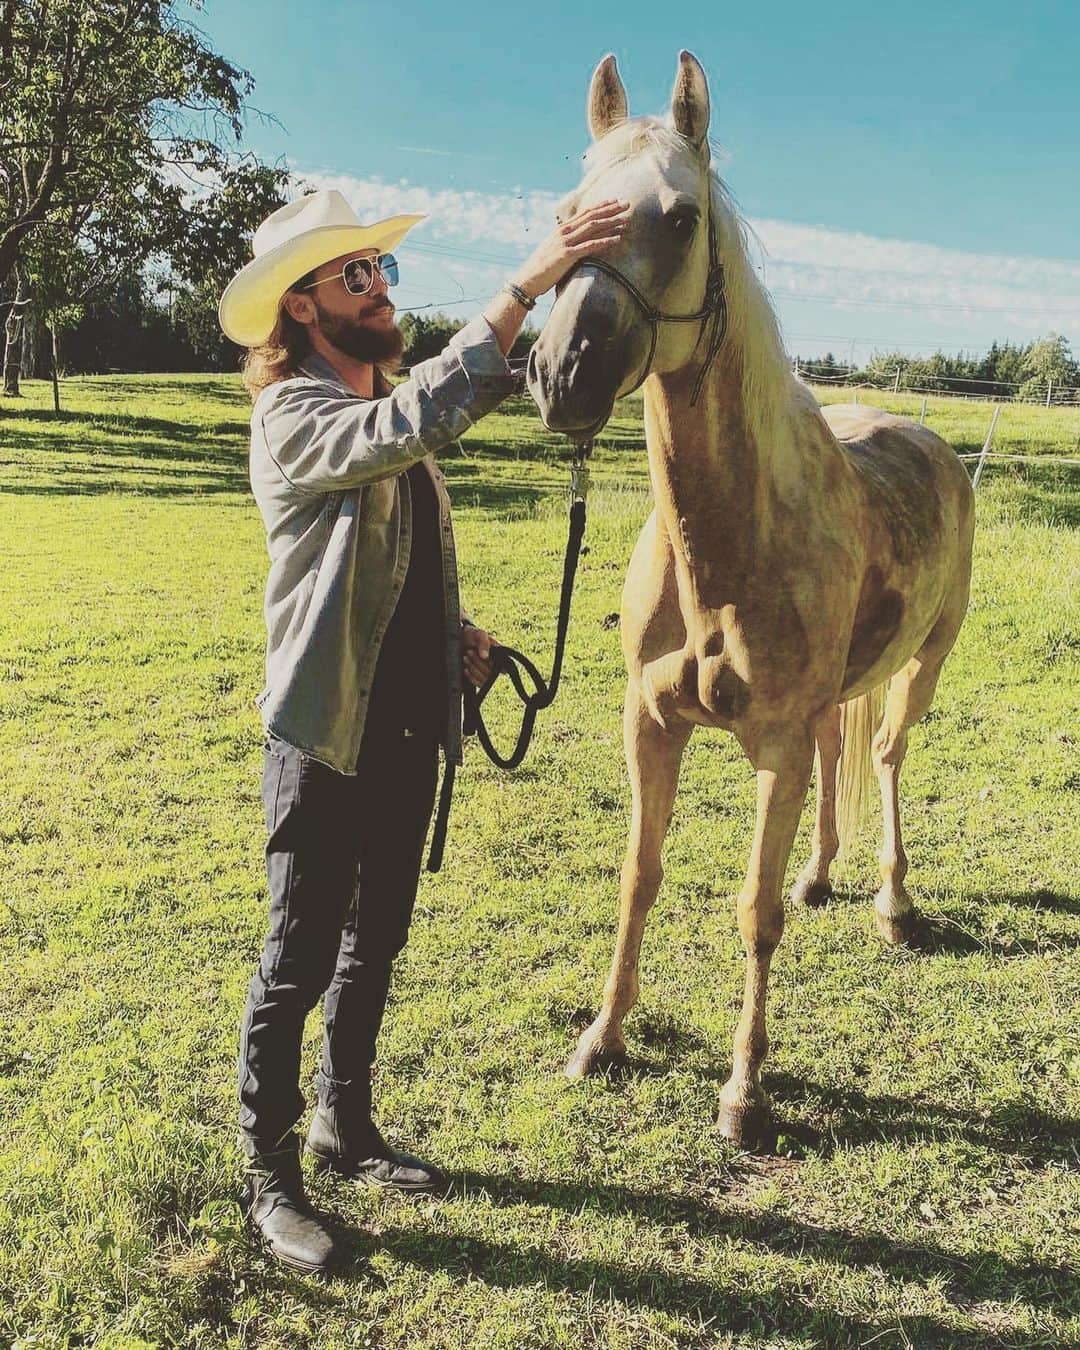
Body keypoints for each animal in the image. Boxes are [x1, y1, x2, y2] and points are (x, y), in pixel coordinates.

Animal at [526, 52, 972, 1150]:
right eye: (567, 213)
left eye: (682, 217)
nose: (561, 373)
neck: (724, 554)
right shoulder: (649, 723)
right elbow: (640, 876)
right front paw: (603, 1038)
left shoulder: (769, 747)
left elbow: (752, 913)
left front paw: (744, 1091)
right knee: (840, 752)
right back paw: (823, 876)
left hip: (928, 659)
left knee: (886, 754)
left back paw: (892, 904)